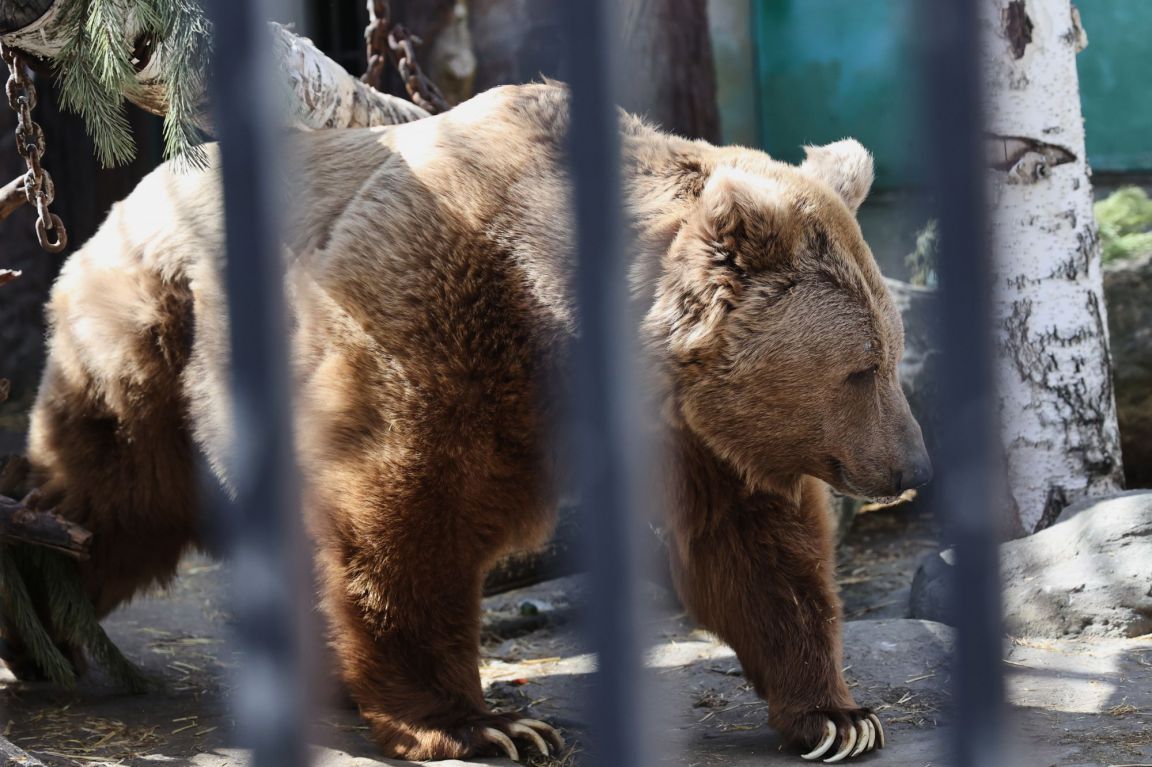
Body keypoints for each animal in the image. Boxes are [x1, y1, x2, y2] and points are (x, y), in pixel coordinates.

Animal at [20, 83, 926, 760]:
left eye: (890, 349)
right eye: (860, 368)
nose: (911, 466)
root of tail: (127, 192)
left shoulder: (693, 425)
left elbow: (756, 544)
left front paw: (838, 715)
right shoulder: (437, 326)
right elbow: (410, 518)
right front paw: (487, 724)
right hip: (158, 341)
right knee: (116, 493)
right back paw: (36, 604)